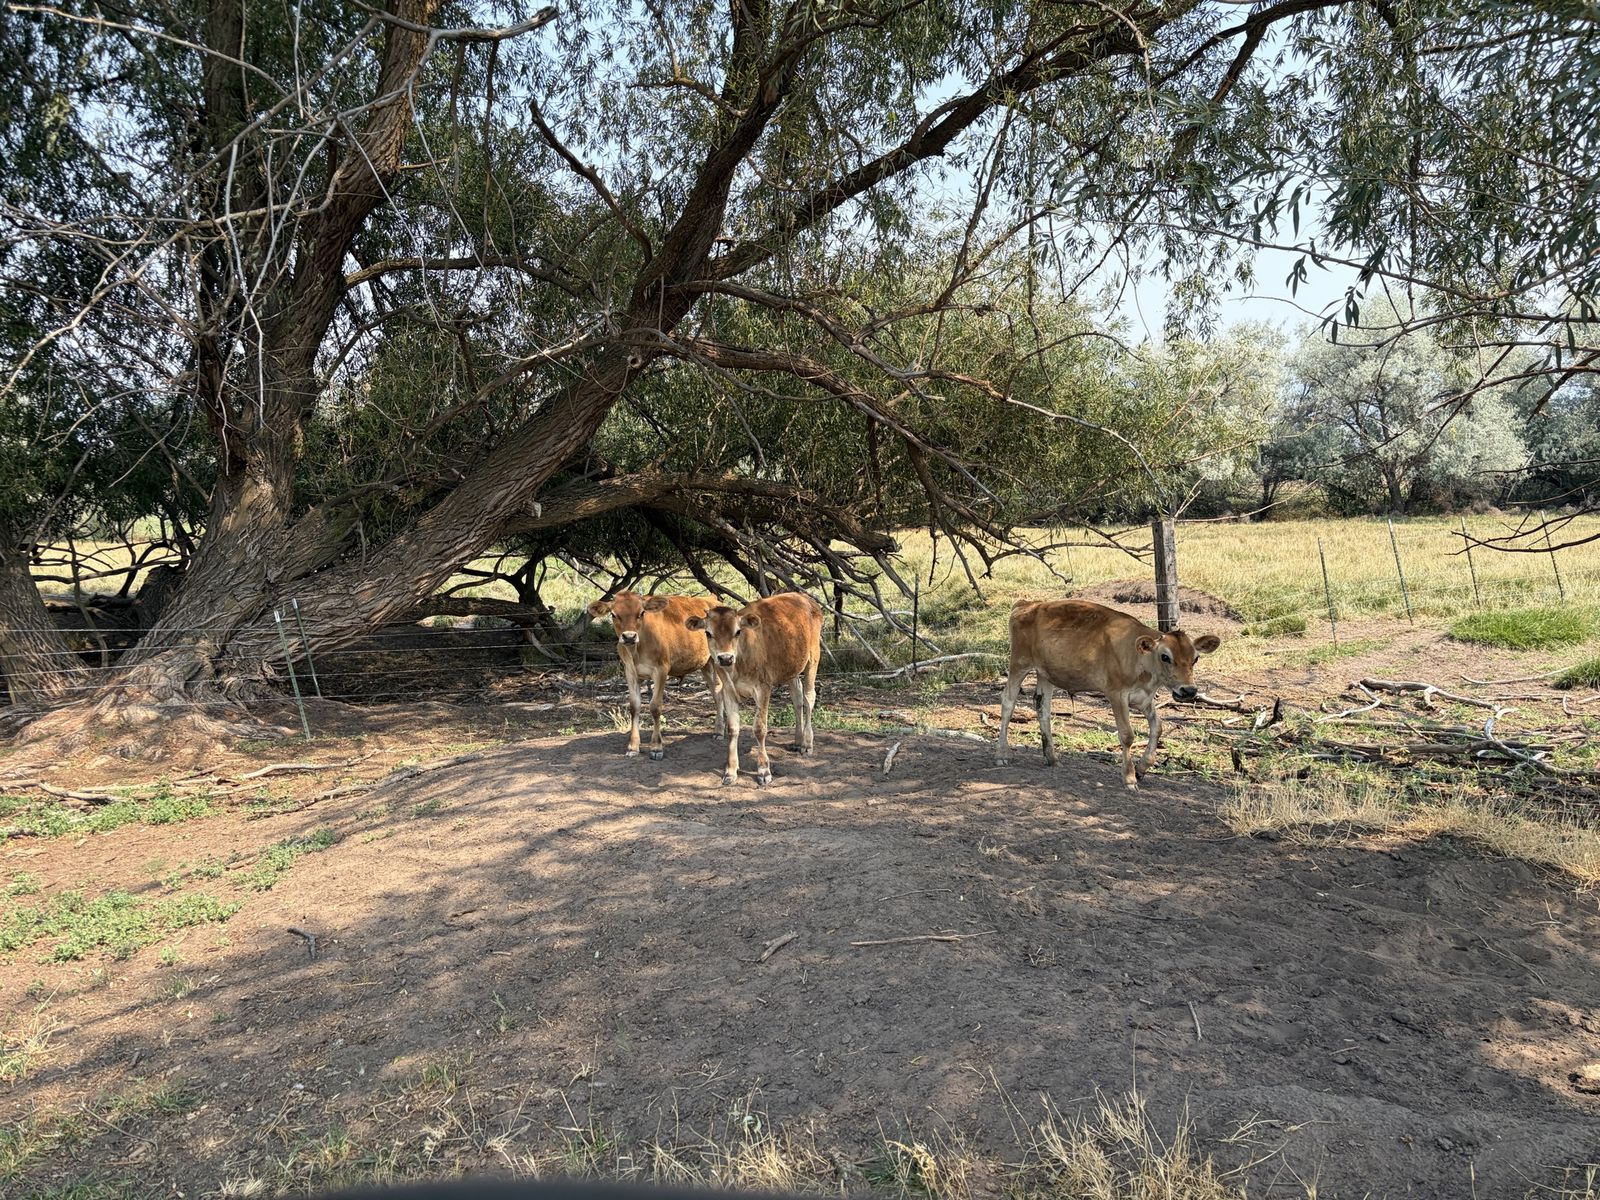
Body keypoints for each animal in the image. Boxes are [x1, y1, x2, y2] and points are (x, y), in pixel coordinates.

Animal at [587, 592, 723, 760]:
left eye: (641, 613)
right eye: (613, 614)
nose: (629, 636)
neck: (637, 650)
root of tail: (712, 599)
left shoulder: (661, 670)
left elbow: (655, 707)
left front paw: (657, 747)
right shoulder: (630, 672)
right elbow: (634, 706)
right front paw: (633, 746)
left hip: (718, 661)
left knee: (719, 691)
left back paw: (720, 730)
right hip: (705, 664)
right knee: (715, 691)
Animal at [686, 592, 824, 787]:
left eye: (737, 631)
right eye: (708, 633)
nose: (725, 658)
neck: (738, 664)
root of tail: (804, 597)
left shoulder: (763, 687)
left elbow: (759, 728)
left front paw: (763, 770)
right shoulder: (728, 690)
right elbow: (733, 728)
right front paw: (730, 771)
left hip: (813, 657)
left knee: (808, 698)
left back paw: (807, 744)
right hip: (791, 667)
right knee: (797, 699)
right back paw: (798, 740)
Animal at [995, 598, 1221, 789]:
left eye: (1195, 658)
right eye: (1165, 656)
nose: (1188, 690)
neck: (1137, 655)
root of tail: (1027, 605)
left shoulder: (1144, 699)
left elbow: (1158, 728)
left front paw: (1142, 768)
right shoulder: (1116, 694)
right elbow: (1127, 735)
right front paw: (1129, 778)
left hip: (1046, 675)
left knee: (1043, 708)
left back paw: (1052, 757)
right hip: (1019, 664)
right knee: (1008, 701)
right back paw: (1003, 753)